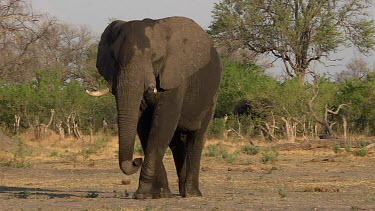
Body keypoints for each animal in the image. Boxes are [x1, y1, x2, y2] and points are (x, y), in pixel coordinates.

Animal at [86, 16, 223, 199]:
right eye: (114, 57)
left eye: (154, 57)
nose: (136, 160)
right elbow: (144, 126)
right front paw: (158, 194)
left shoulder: (174, 77)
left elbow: (162, 124)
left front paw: (142, 194)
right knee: (176, 142)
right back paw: (180, 192)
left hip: (212, 95)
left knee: (196, 138)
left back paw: (192, 194)